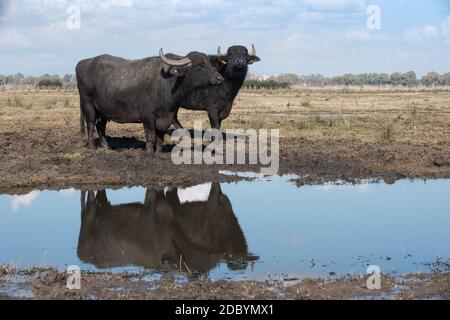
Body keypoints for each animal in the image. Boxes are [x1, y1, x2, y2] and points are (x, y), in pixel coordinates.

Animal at [77, 182, 253, 272]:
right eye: (224, 205)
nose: (221, 196)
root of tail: (81, 253)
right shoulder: (150, 209)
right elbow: (152, 192)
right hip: (89, 215)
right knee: (90, 198)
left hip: (102, 207)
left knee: (101, 196)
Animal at [78, 50, 227, 153]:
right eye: (200, 65)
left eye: (210, 63)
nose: (220, 78)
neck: (167, 83)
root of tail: (83, 63)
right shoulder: (147, 116)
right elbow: (150, 135)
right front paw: (149, 151)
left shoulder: (167, 116)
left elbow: (160, 135)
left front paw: (159, 151)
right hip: (88, 105)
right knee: (91, 124)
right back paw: (92, 146)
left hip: (103, 110)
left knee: (100, 126)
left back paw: (106, 146)